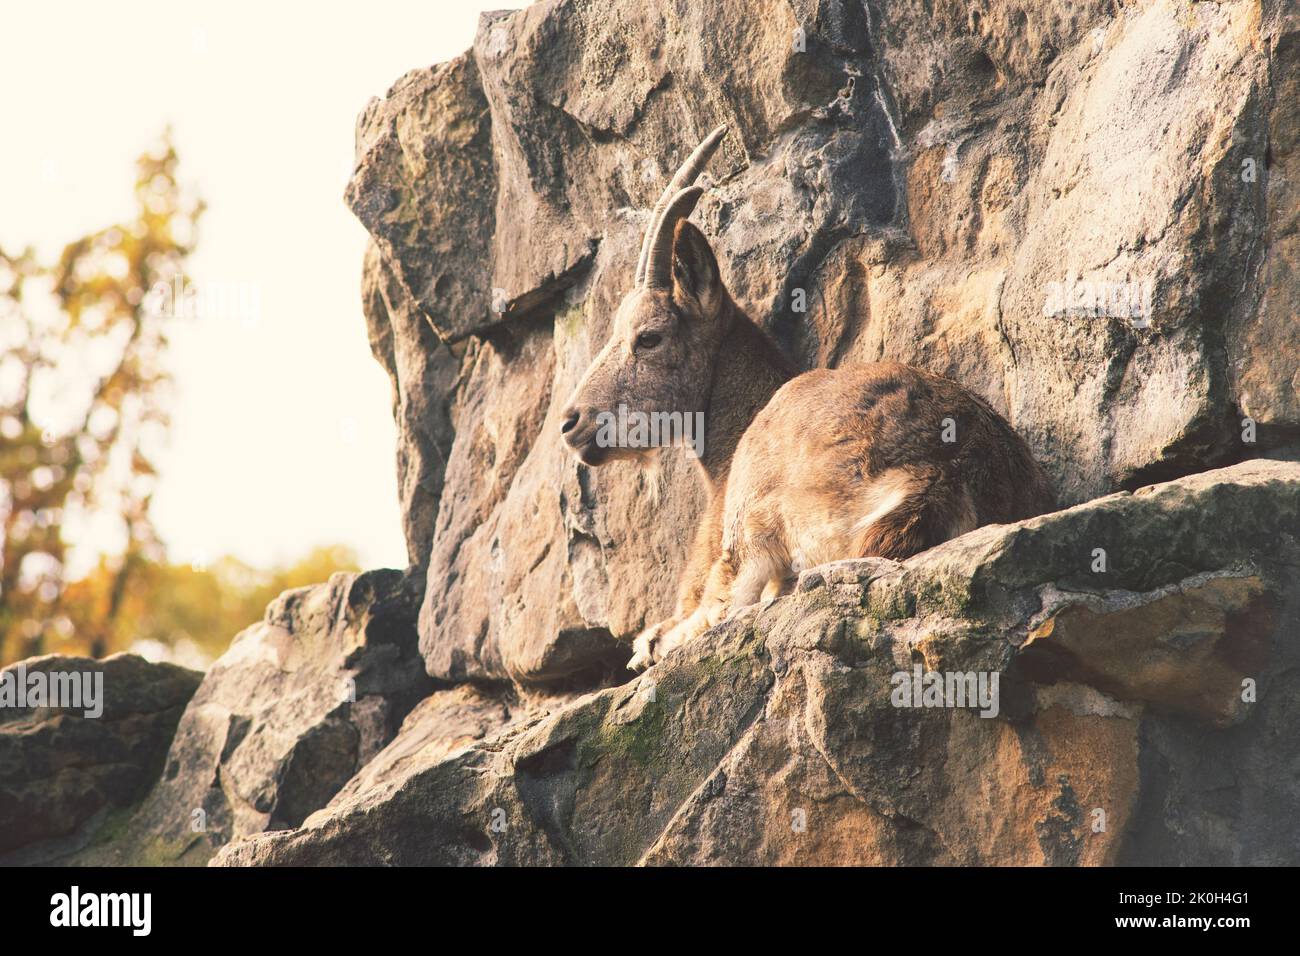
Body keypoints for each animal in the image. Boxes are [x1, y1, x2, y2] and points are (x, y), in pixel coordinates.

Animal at [559, 125, 1055, 671]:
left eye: (648, 337)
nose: (573, 422)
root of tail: (940, 472)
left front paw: (647, 642)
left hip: (764, 519)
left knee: (730, 605)